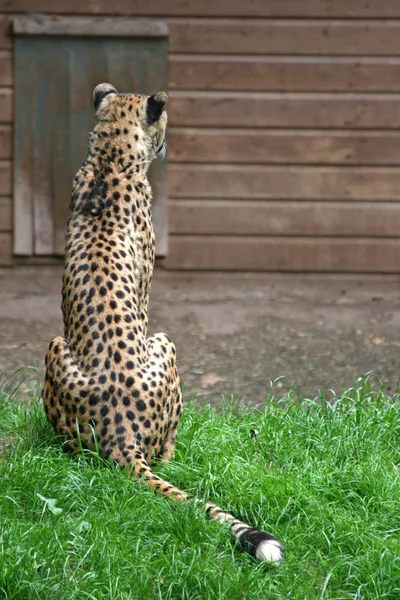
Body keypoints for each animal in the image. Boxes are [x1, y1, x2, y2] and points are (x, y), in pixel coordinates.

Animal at [42, 82, 282, 564]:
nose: (169, 141)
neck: (109, 160)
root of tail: (120, 433)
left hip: (59, 348)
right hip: (160, 343)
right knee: (164, 455)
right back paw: (175, 453)